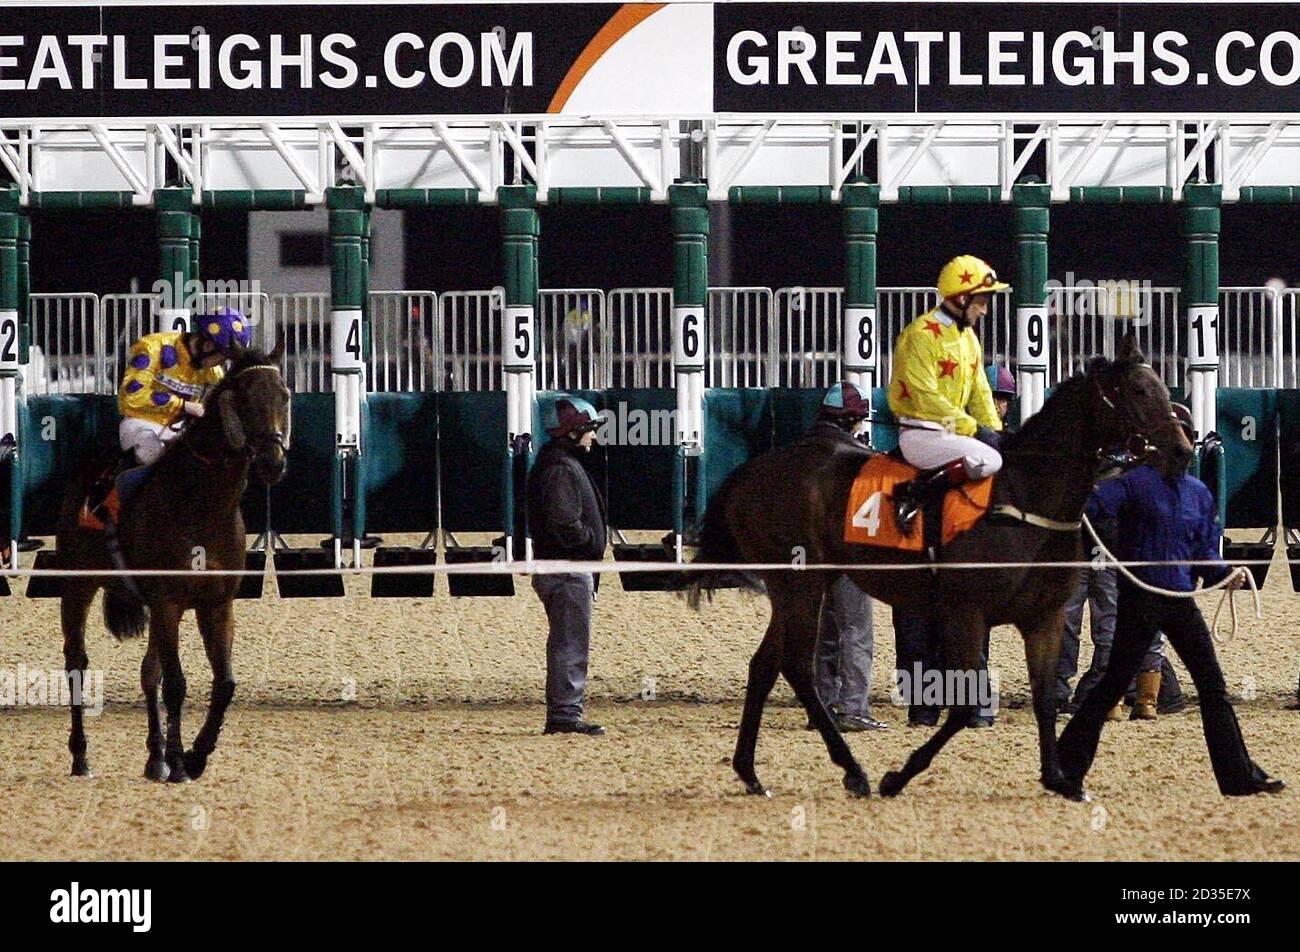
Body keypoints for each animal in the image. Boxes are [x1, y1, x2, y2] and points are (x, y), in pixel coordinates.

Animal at [57, 343, 289, 780]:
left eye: (284, 396)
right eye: (244, 398)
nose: (273, 463)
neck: (200, 503)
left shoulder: (216, 604)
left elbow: (222, 682)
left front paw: (193, 755)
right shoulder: (167, 600)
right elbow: (176, 683)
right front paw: (182, 761)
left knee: (149, 672)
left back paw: (155, 757)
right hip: (77, 585)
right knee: (76, 662)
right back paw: (81, 756)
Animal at [691, 338, 1190, 801]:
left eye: (1163, 388)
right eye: (1138, 390)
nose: (1183, 450)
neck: (1026, 498)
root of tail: (750, 471)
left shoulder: (1043, 617)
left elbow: (1045, 699)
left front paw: (1060, 779)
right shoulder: (966, 613)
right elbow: (965, 708)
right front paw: (897, 776)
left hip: (799, 583)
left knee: (765, 664)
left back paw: (750, 773)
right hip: (801, 582)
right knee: (796, 666)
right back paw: (854, 771)